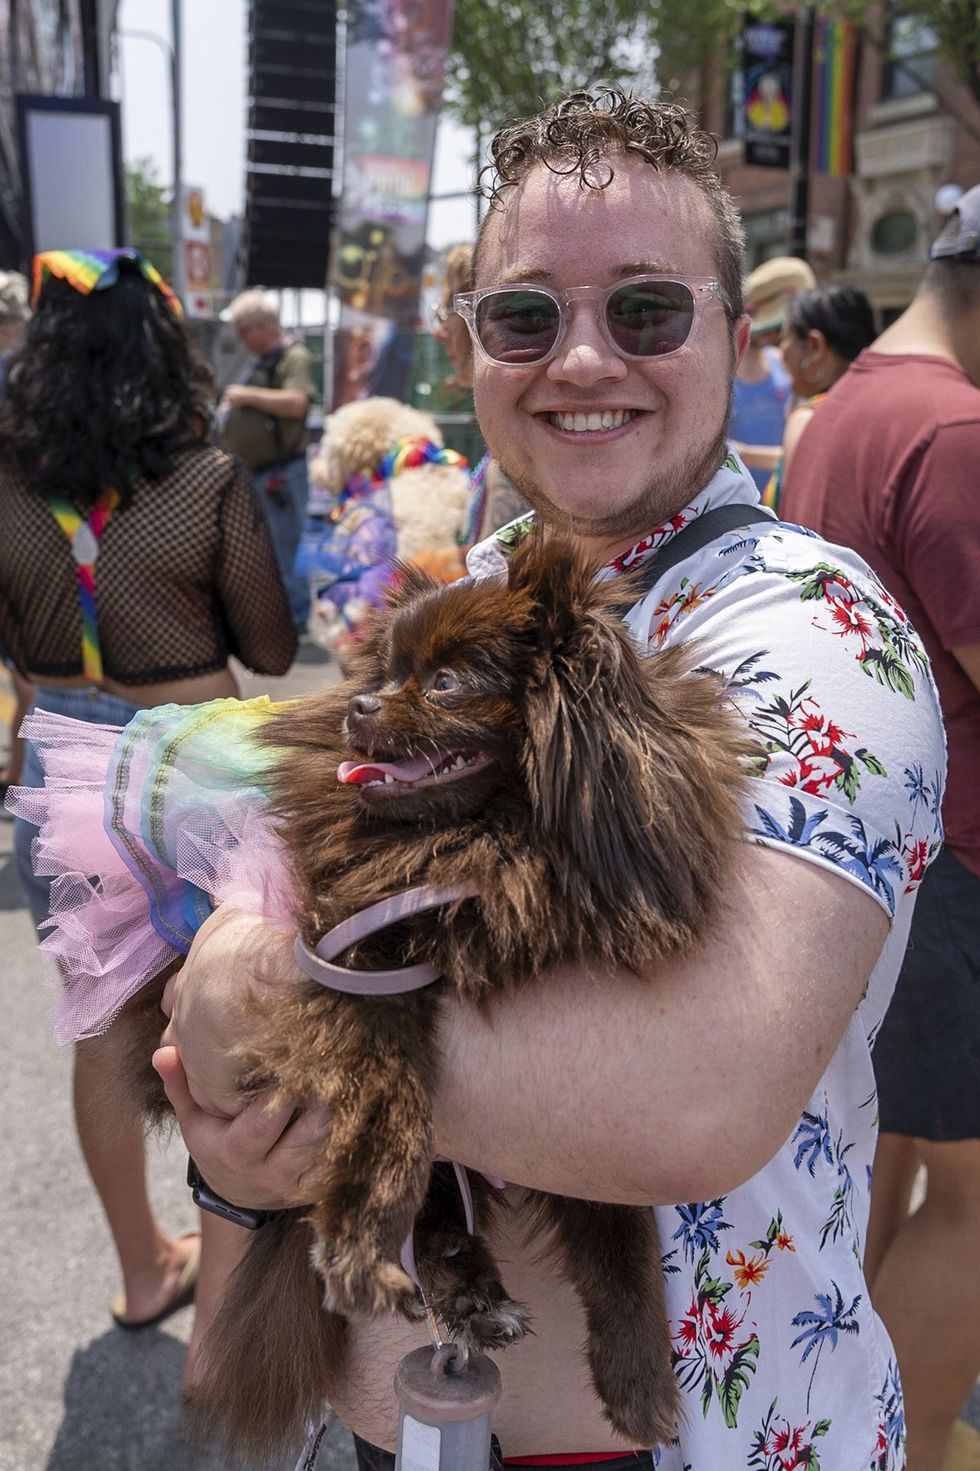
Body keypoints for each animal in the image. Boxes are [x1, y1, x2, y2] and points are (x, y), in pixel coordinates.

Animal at [124, 529, 747, 1459]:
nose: (360, 704)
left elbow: (620, 1229)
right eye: (383, 673)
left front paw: (637, 1376)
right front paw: (361, 1236)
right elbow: (392, 1111)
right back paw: (458, 1285)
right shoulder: (354, 965)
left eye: (445, 683)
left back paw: (469, 1295)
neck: (483, 849)